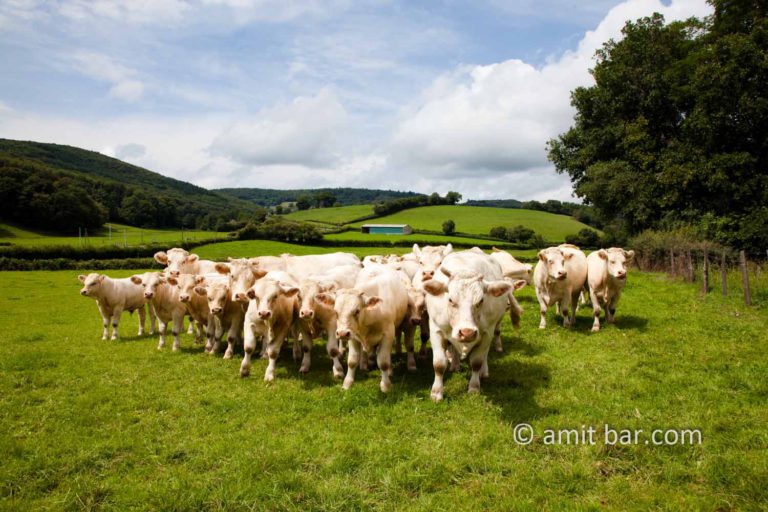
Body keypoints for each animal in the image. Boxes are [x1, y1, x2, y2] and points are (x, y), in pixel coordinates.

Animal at [422, 250, 520, 402]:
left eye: (481, 301)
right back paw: (455, 365)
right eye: (450, 299)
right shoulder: (436, 330)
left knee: (485, 354)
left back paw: (483, 372)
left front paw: (474, 387)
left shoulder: (487, 333)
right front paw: (436, 392)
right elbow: (439, 364)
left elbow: (477, 362)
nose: (466, 332)